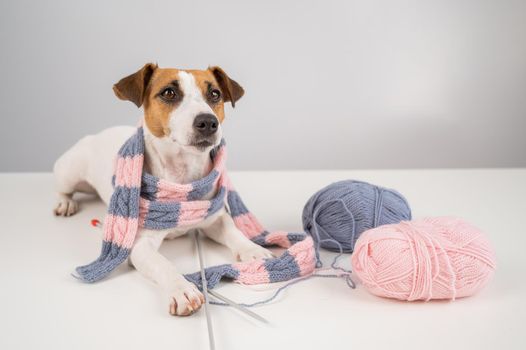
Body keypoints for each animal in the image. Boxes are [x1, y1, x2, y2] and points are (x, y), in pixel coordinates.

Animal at [54, 63, 276, 318]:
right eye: (169, 92)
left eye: (215, 94)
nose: (208, 122)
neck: (182, 178)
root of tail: (98, 133)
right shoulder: (139, 246)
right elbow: (164, 264)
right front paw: (182, 289)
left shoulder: (215, 219)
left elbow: (234, 232)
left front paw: (254, 250)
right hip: (69, 171)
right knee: (61, 187)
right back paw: (65, 203)